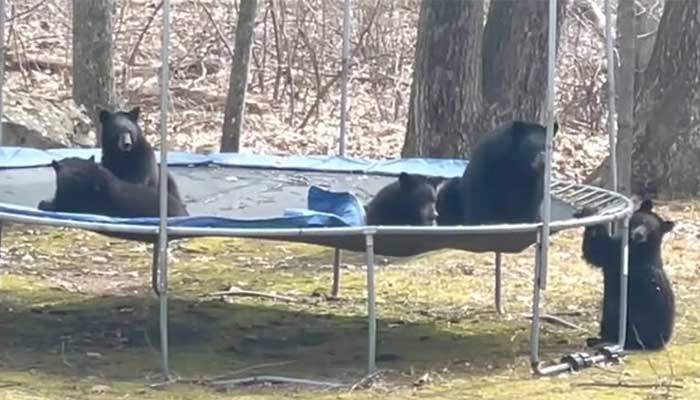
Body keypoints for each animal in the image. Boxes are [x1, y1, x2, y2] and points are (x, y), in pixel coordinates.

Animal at [576, 200, 676, 350]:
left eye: (651, 231)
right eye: (641, 221)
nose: (639, 235)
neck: (637, 247)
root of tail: (664, 340)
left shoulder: (625, 258)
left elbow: (598, 248)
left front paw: (590, 212)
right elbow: (597, 252)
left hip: (637, 317)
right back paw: (597, 339)